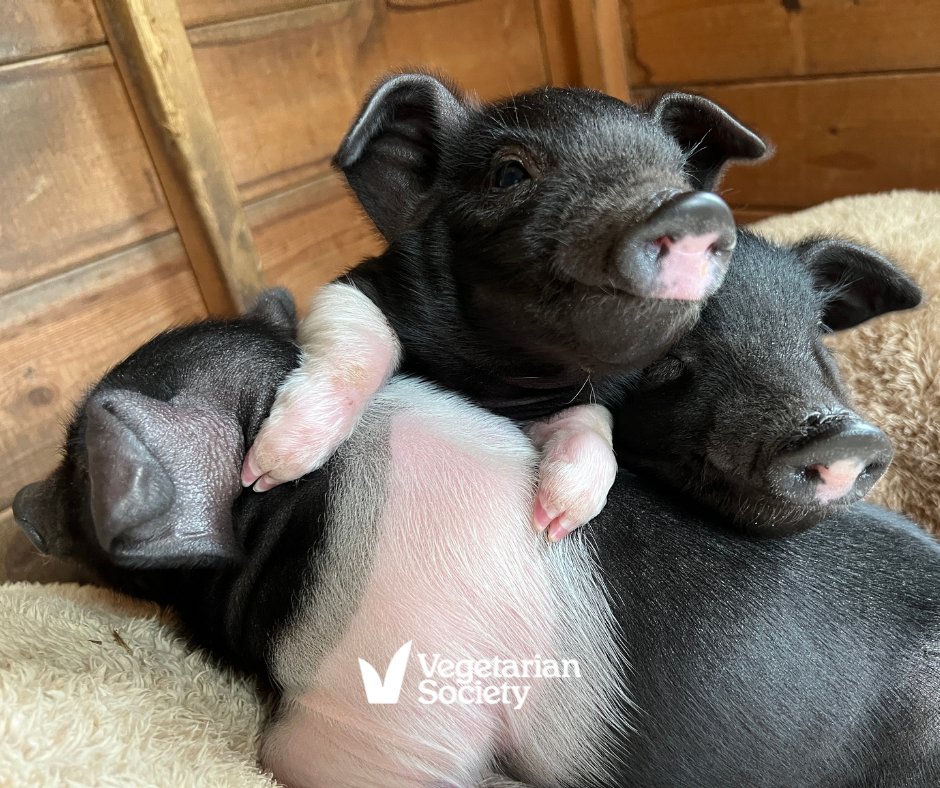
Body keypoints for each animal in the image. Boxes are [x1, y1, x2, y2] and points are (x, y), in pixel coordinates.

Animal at [240, 72, 767, 540]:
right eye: (509, 173)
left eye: (680, 174)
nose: (692, 207)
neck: (502, 374)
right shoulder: (355, 285)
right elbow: (360, 338)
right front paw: (266, 471)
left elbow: (592, 423)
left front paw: (553, 523)